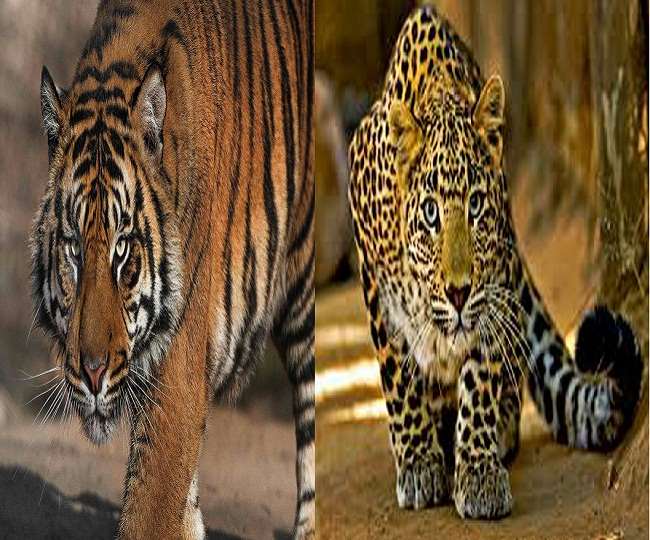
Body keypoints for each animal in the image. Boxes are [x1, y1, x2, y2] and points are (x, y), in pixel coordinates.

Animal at [348, 4, 642, 519]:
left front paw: (479, 470)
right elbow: (397, 373)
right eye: (430, 213)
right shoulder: (374, 279)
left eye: (477, 205)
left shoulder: (497, 283)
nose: (458, 292)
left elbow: (481, 376)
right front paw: (419, 463)